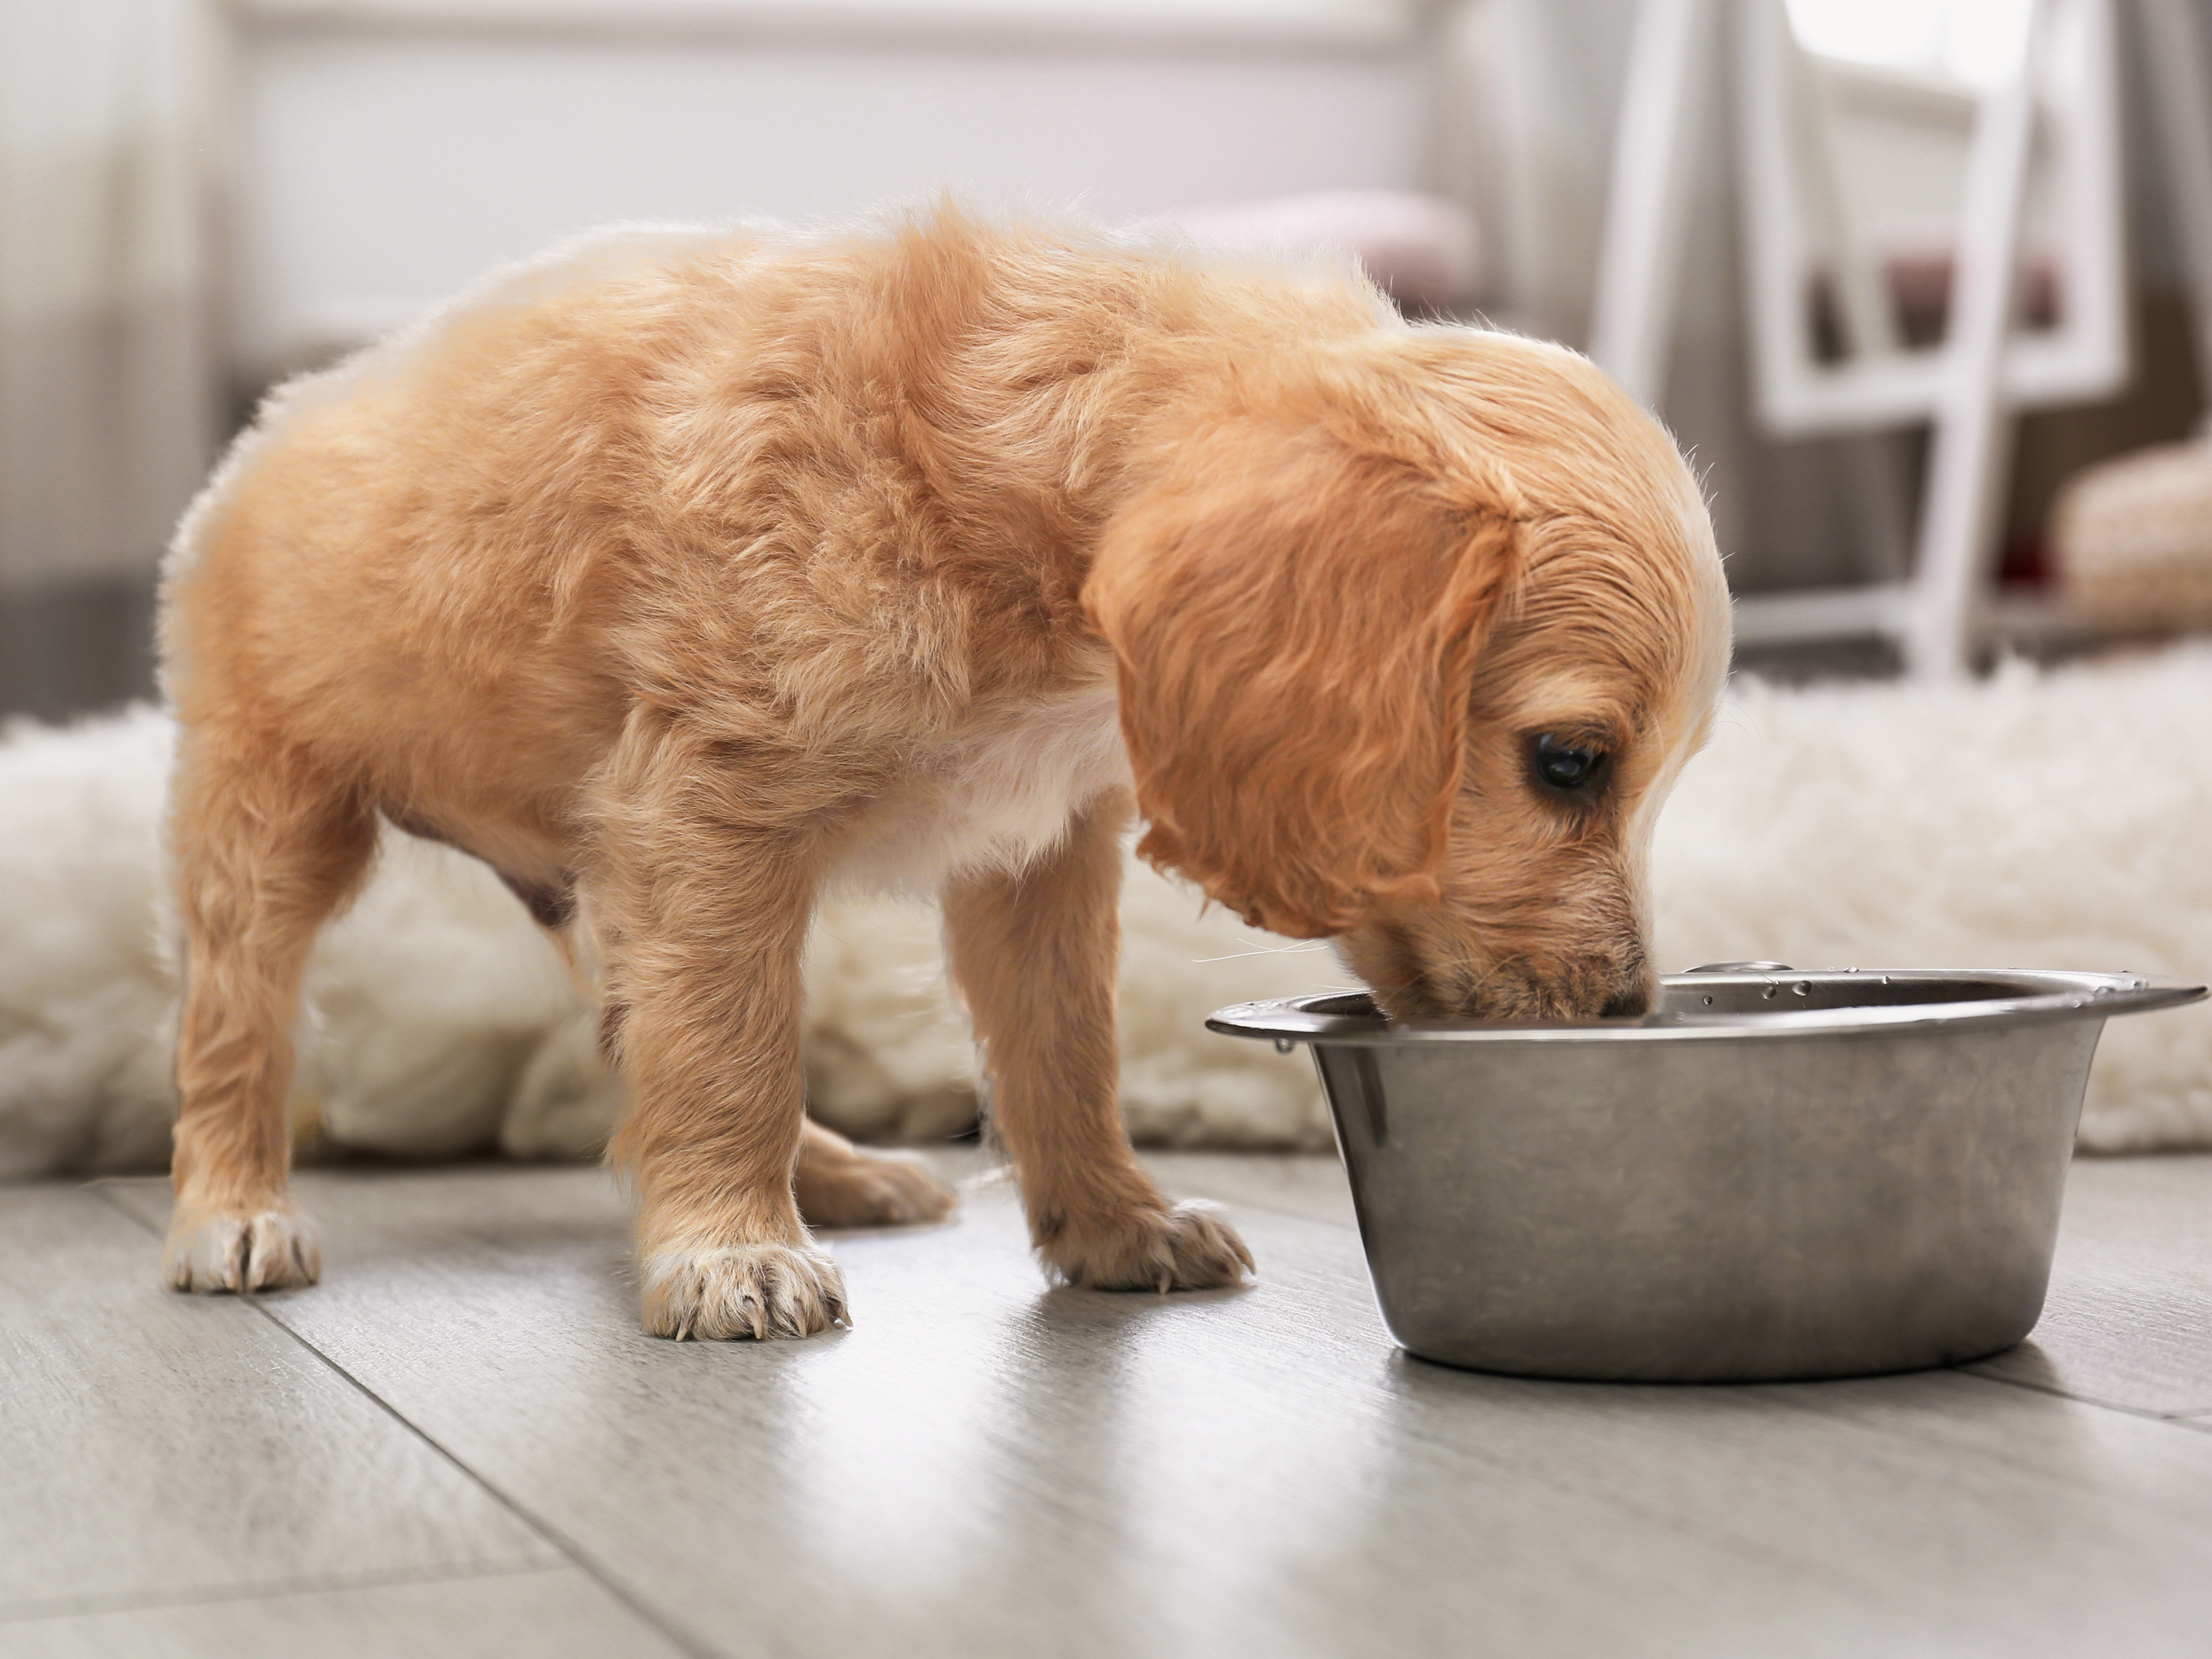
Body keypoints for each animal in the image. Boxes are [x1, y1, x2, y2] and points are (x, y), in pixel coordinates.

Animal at [164, 204, 1734, 1336]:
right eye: (1570, 762)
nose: (1622, 1009)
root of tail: (274, 421)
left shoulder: (1032, 850)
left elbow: (1062, 1048)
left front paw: (1111, 1224)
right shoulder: (707, 812)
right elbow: (728, 1043)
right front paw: (728, 1251)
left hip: (591, 881)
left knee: (628, 1028)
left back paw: (834, 1171)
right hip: (270, 804)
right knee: (239, 1023)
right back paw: (229, 1212)